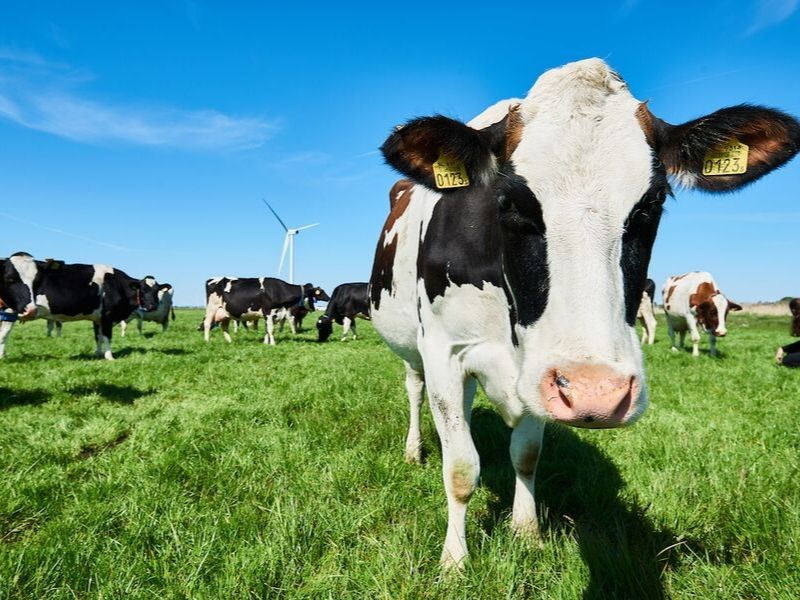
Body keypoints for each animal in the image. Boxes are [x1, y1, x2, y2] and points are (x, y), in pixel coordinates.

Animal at [0, 252, 160, 360]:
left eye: (157, 291)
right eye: (143, 290)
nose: (153, 306)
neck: (117, 284)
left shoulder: (98, 317)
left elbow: (98, 336)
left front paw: (98, 353)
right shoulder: (107, 315)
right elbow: (107, 336)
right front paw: (110, 357)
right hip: (10, 311)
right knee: (4, 334)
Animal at [369, 58, 800, 567]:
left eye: (654, 202)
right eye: (508, 200)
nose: (597, 393)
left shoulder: (534, 370)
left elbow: (526, 453)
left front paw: (526, 531)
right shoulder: (444, 351)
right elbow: (460, 467)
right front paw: (454, 561)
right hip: (414, 353)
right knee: (416, 391)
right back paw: (415, 450)